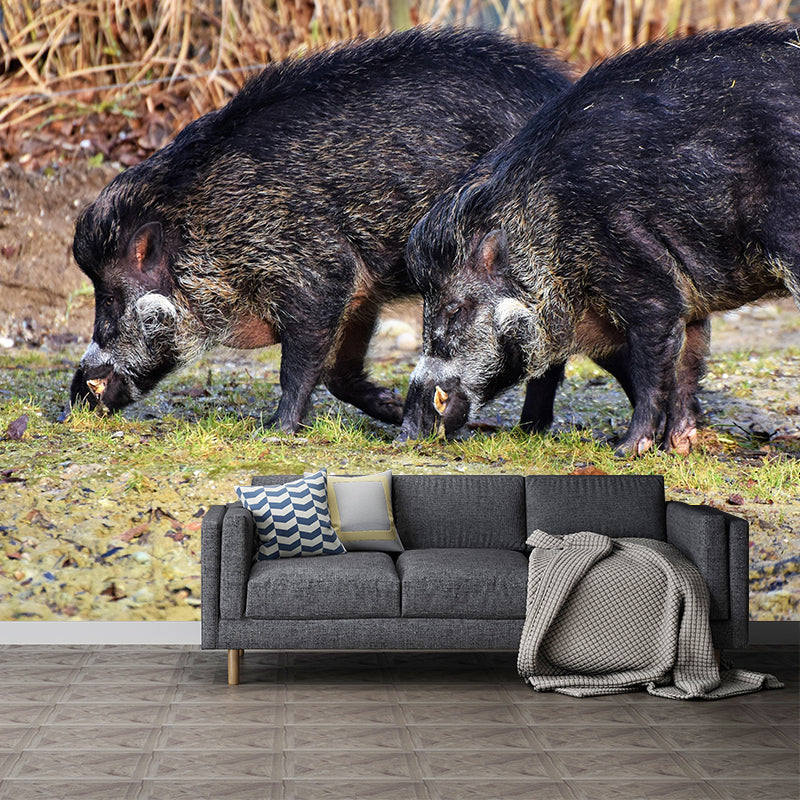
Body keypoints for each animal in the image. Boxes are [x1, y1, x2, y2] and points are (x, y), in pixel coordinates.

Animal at [68, 27, 574, 432]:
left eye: (109, 298)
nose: (74, 396)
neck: (208, 226)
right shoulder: (360, 289)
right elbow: (338, 372)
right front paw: (392, 408)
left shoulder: (316, 270)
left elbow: (299, 364)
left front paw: (274, 430)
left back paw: (528, 429)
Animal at [400, 23, 799, 455]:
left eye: (455, 308)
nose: (405, 431)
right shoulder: (691, 303)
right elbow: (688, 365)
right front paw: (676, 448)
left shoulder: (648, 283)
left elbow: (651, 371)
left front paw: (627, 450)